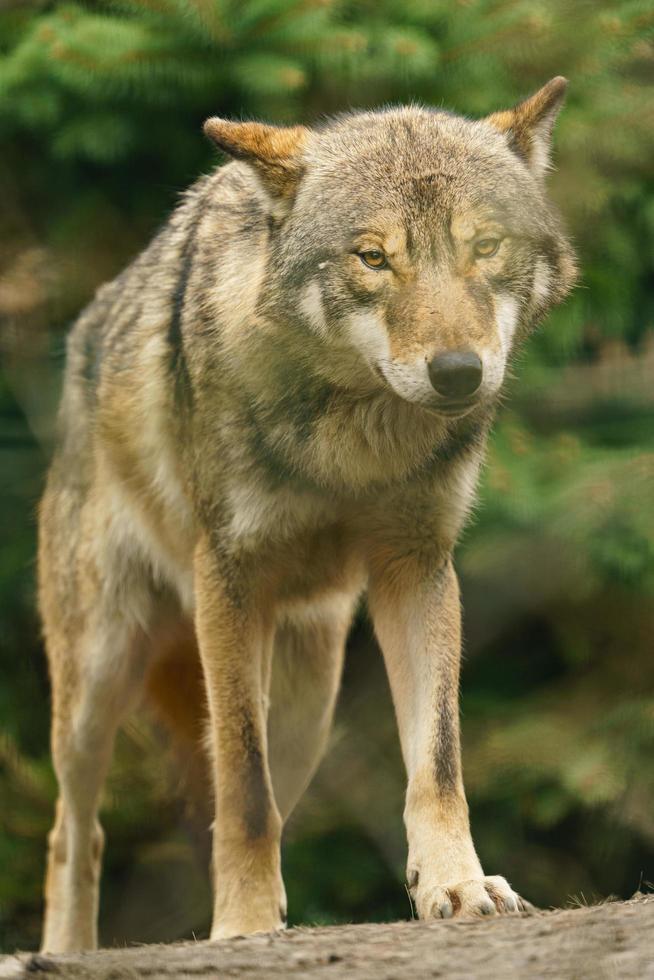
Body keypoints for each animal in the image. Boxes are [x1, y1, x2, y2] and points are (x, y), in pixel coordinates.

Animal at [38, 76, 576, 948]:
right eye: (373, 257)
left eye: (486, 246)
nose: (459, 373)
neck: (353, 447)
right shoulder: (229, 580)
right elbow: (245, 792)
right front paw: (246, 926)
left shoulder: (418, 569)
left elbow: (437, 760)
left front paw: (456, 885)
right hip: (98, 681)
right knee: (75, 830)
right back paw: (66, 950)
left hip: (308, 704)